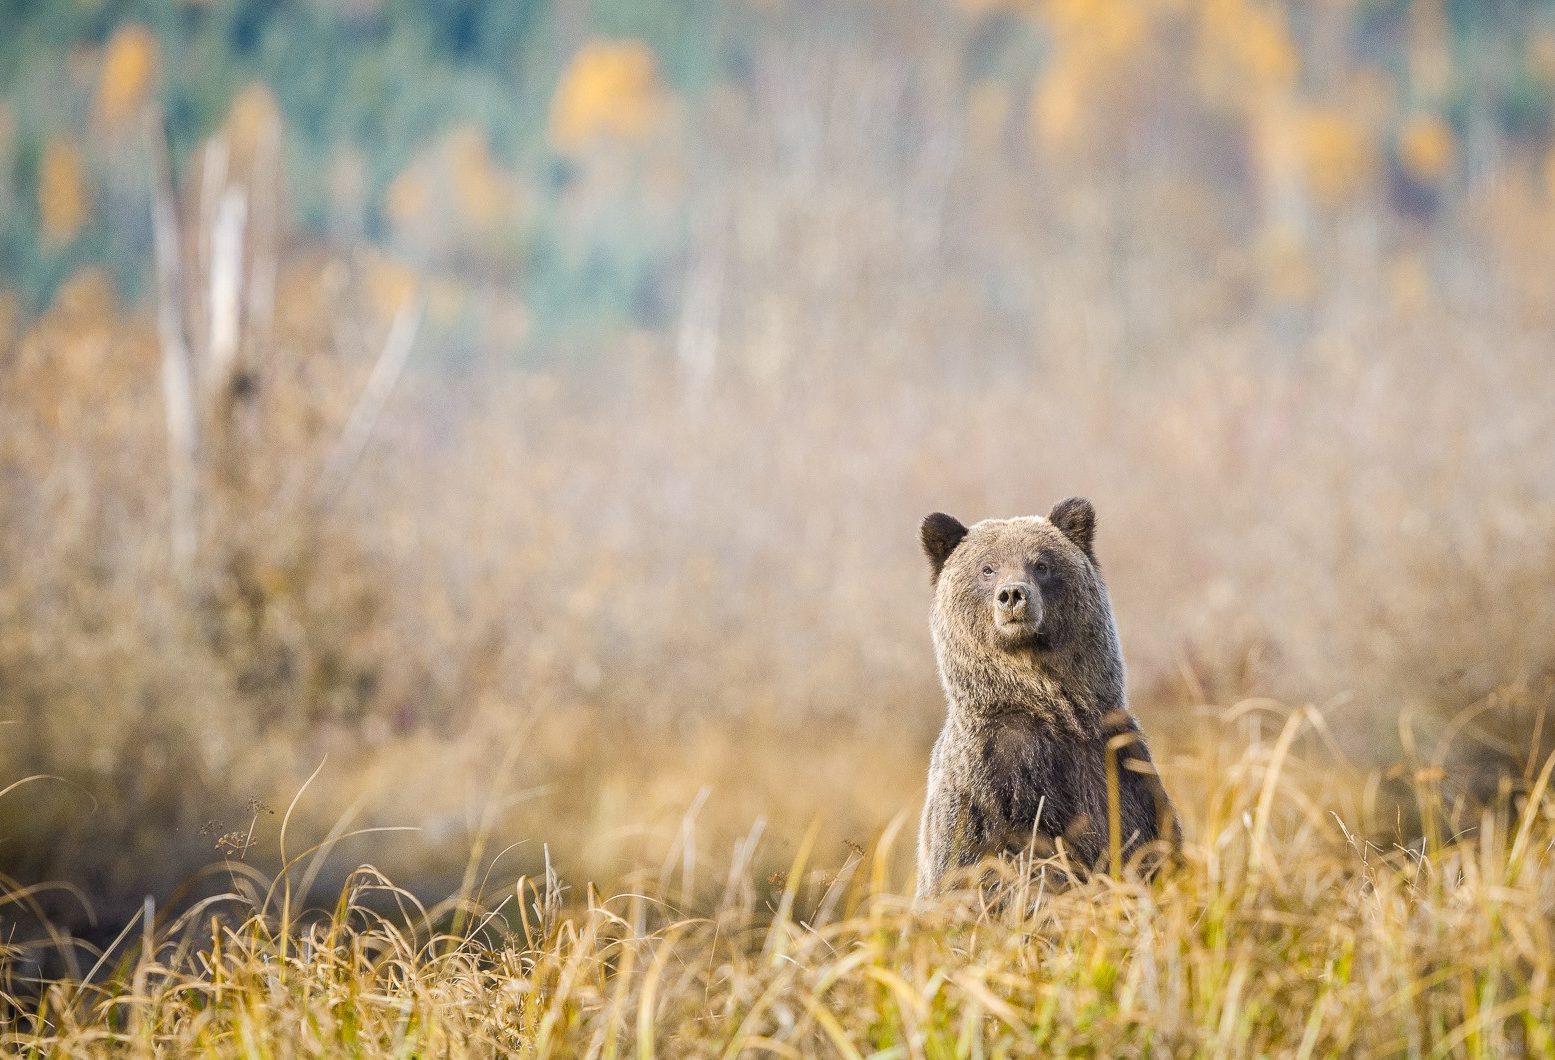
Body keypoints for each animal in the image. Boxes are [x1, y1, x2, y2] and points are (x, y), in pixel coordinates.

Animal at [915, 497, 1178, 897]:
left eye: (1041, 564)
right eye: (987, 568)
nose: (1013, 594)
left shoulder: (1116, 762)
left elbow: (1145, 843)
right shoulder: (991, 779)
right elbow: (994, 868)